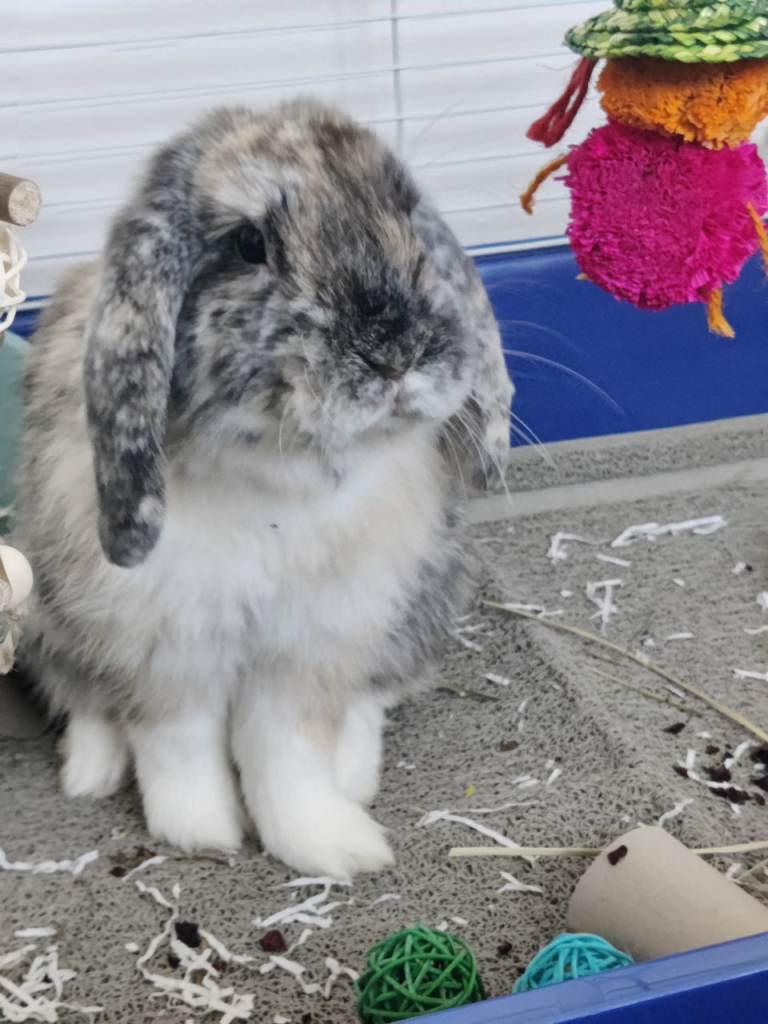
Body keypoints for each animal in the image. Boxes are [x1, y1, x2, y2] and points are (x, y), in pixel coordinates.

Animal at [13, 99, 513, 879]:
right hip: (42, 614)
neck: (280, 478)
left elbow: (288, 757)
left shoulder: (306, 652)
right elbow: (176, 747)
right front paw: (203, 832)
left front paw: (334, 846)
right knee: (83, 697)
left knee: (376, 694)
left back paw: (355, 774)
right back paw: (89, 772)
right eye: (250, 244)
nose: (395, 351)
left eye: (407, 214)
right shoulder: (163, 650)